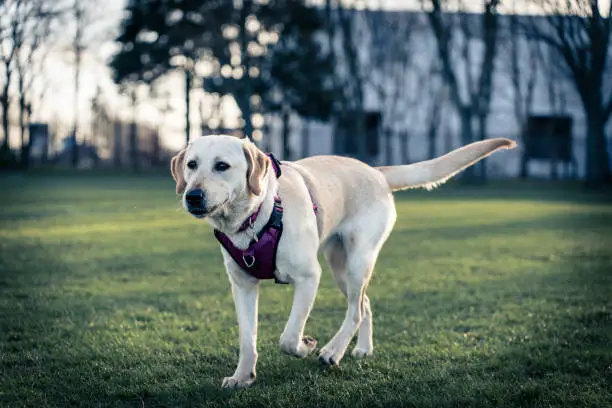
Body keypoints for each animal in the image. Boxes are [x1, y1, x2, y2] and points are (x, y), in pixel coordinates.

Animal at [169, 135, 516, 388]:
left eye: (222, 166)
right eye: (192, 165)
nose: (193, 196)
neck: (257, 218)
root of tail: (376, 172)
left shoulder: (309, 278)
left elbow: (288, 337)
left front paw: (306, 345)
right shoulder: (242, 285)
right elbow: (246, 338)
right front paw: (242, 376)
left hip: (358, 260)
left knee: (355, 310)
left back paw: (333, 352)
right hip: (340, 266)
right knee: (364, 304)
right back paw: (362, 348)